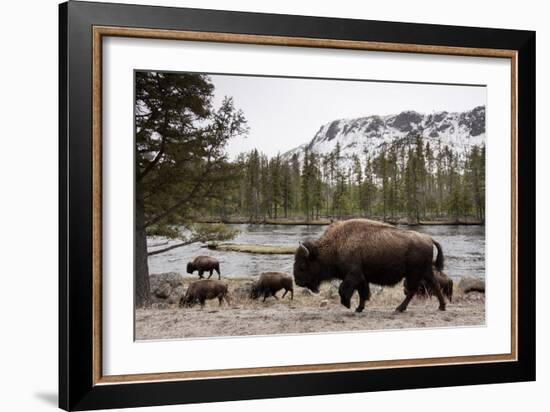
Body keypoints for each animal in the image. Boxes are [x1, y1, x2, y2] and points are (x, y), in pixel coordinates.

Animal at [294, 219, 448, 312]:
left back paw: (399, 308)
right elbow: (362, 293)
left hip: (414, 273)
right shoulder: (362, 278)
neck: (335, 245)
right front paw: (358, 308)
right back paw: (441, 306)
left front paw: (347, 304)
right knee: (434, 285)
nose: (297, 281)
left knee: (412, 290)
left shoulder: (353, 275)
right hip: (425, 272)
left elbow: (344, 289)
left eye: (302, 265)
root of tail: (429, 239)